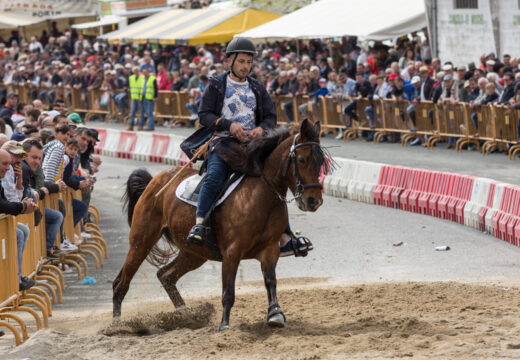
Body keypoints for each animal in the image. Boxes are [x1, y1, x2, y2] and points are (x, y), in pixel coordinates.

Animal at [112, 119, 330, 330]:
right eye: (302, 160)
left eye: (321, 163)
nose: (313, 201)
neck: (259, 197)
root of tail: (154, 182)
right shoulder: (232, 253)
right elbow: (228, 291)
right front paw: (224, 325)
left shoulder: (270, 249)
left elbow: (271, 281)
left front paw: (275, 314)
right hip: (141, 241)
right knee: (121, 283)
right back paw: (117, 326)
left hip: (194, 253)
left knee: (166, 276)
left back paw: (186, 315)